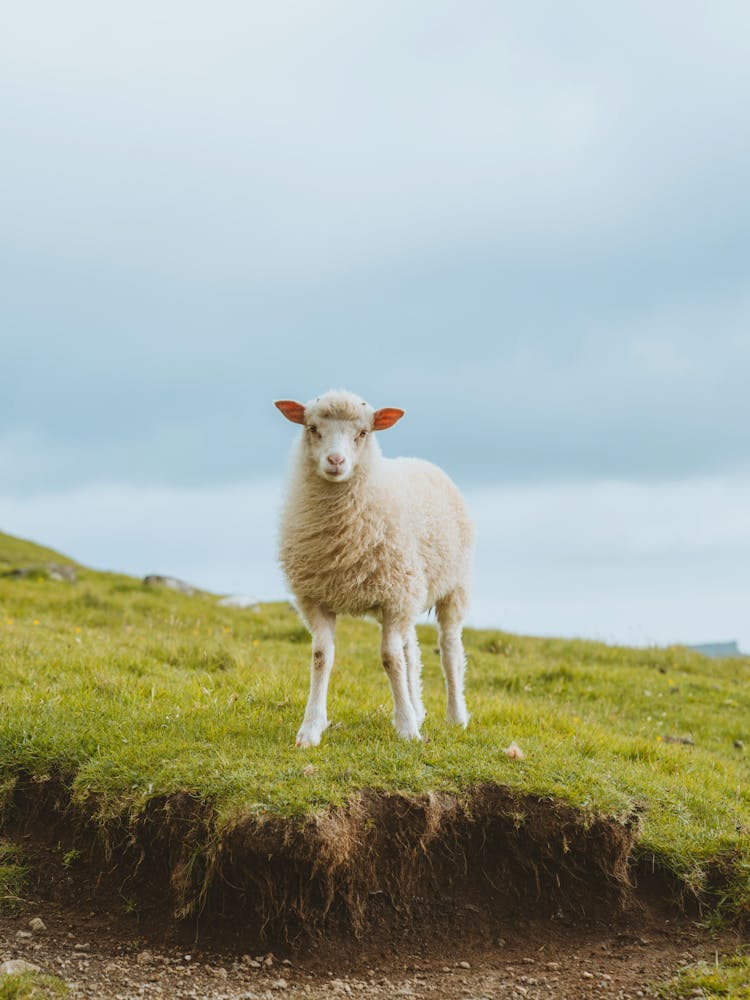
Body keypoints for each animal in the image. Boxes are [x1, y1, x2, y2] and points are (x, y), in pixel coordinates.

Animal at [276, 386, 476, 748]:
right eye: (312, 428)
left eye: (363, 433)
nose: (335, 461)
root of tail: (421, 461)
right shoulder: (316, 598)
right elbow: (321, 657)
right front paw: (311, 729)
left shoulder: (393, 599)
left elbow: (389, 659)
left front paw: (407, 729)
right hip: (410, 589)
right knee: (412, 650)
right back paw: (418, 708)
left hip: (453, 587)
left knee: (449, 648)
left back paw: (456, 716)